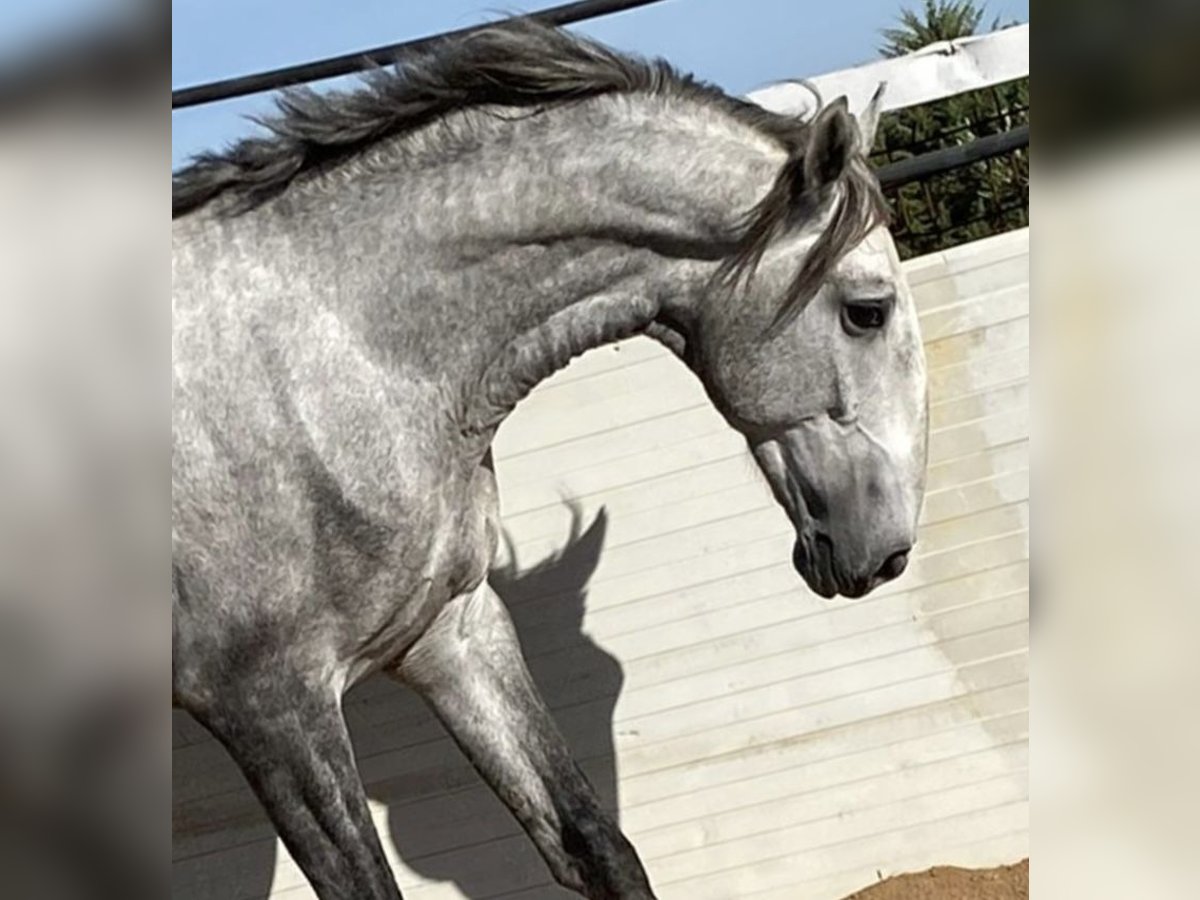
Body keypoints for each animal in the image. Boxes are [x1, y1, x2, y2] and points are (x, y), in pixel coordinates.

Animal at [171, 21, 926, 900]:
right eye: (867, 311)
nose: (887, 553)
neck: (329, 356)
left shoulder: (450, 631)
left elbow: (591, 843)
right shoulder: (271, 709)